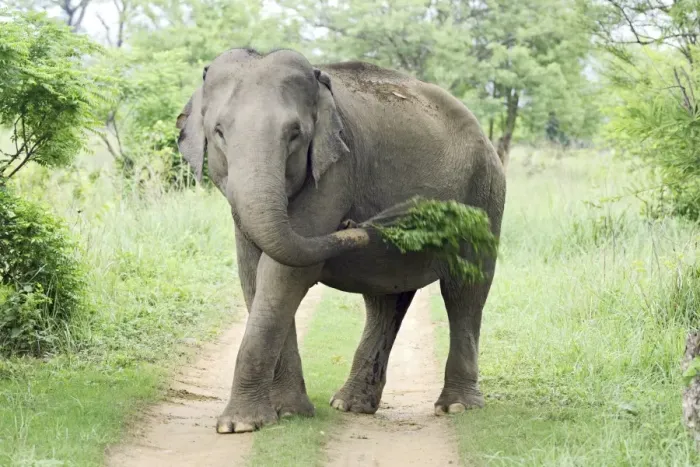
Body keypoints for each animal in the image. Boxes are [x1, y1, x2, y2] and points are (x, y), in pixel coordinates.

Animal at [175, 47, 506, 434]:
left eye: (295, 134)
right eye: (219, 133)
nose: (352, 220)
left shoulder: (336, 170)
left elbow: (284, 272)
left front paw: (241, 425)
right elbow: (253, 273)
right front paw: (289, 413)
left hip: (485, 192)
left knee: (464, 291)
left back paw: (456, 406)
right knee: (385, 301)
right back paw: (350, 404)